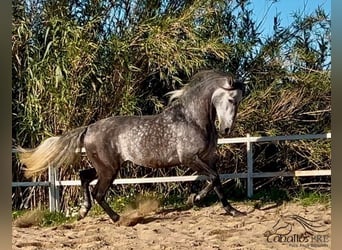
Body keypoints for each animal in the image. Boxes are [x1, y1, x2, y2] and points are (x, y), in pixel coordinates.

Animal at [17, 69, 246, 222]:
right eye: (231, 100)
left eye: (239, 101)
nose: (226, 129)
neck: (193, 119)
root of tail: (89, 128)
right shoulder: (189, 158)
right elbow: (214, 178)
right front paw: (229, 209)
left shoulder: (208, 158)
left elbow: (215, 179)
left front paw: (199, 199)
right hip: (109, 169)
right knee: (98, 192)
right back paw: (117, 218)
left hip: (105, 167)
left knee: (84, 177)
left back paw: (83, 211)